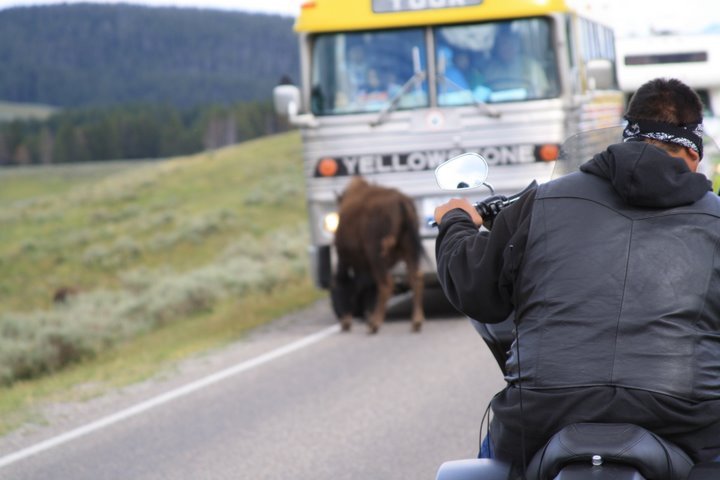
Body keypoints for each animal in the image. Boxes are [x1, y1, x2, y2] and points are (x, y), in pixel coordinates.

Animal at [330, 176, 424, 334]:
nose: (344, 323)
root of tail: (400, 202)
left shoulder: (345, 259)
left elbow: (348, 283)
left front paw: (348, 320)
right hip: (409, 251)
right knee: (415, 279)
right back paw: (416, 322)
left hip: (376, 255)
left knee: (386, 283)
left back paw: (374, 324)